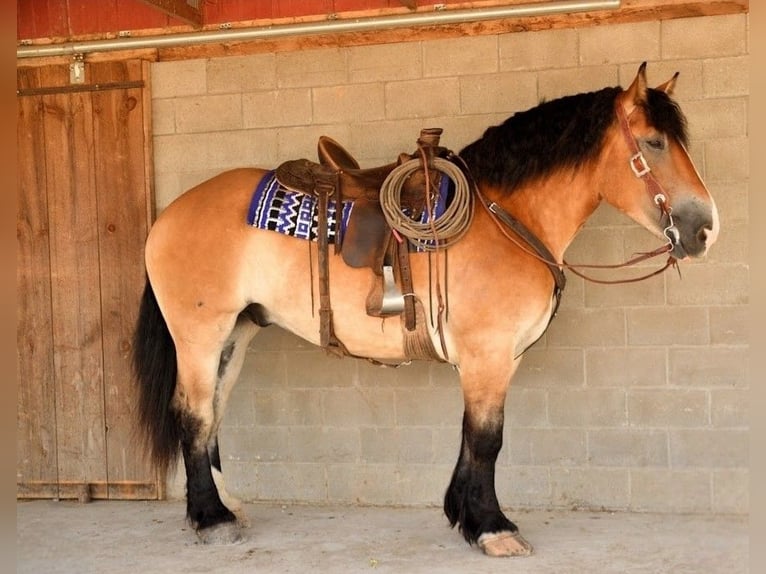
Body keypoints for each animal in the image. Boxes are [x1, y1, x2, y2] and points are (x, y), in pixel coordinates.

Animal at [132, 64, 720, 560]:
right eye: (654, 142)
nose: (706, 230)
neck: (507, 216)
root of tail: (168, 216)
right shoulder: (488, 355)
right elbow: (487, 439)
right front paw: (492, 528)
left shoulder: (493, 360)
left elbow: (470, 436)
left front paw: (462, 515)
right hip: (200, 334)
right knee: (193, 413)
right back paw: (210, 520)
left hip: (237, 334)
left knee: (212, 415)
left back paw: (226, 506)